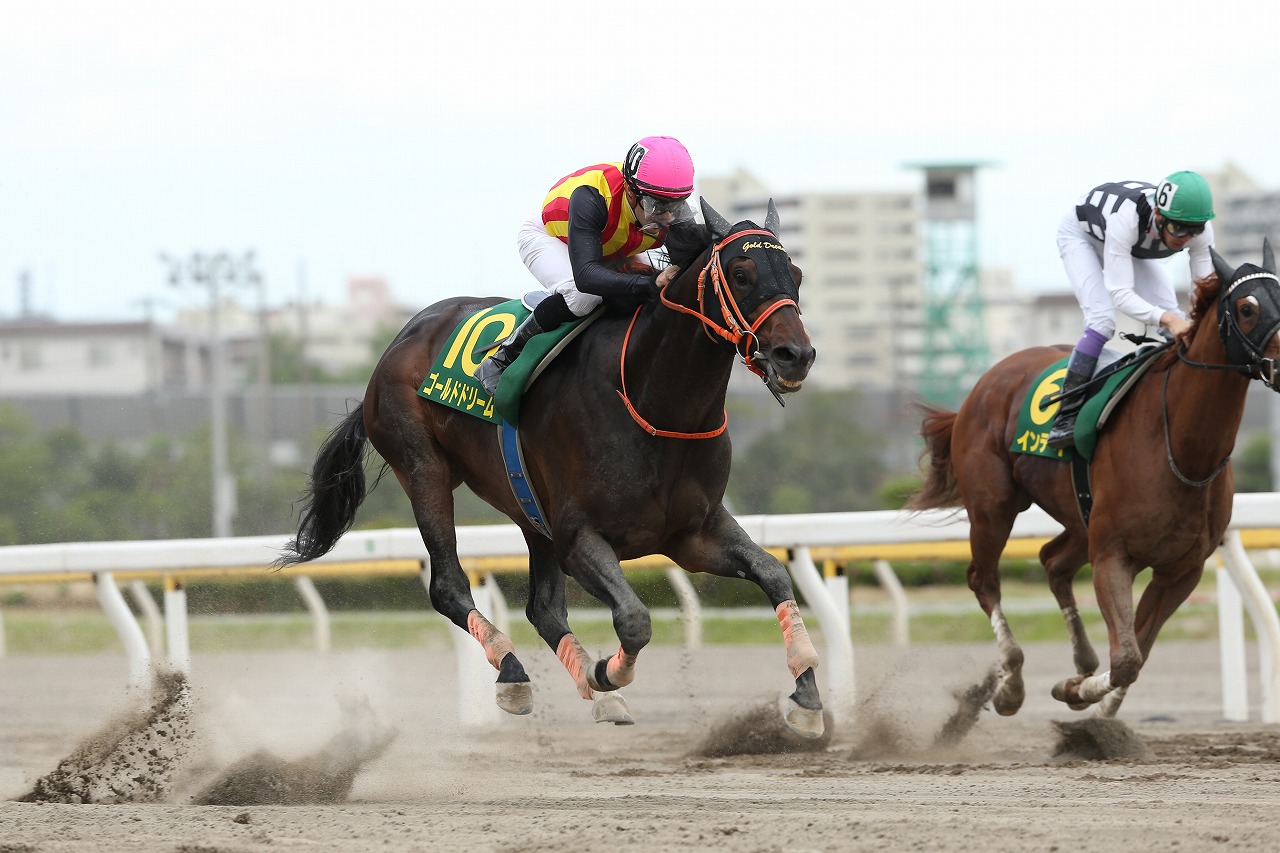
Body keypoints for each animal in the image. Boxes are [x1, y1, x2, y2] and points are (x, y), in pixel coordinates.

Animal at [276, 197, 824, 732]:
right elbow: (634, 619)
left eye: (796, 273)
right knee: (449, 586)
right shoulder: (579, 537)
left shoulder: (693, 533)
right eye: (741, 272)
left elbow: (773, 572)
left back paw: (588, 686)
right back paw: (516, 673)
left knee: (542, 608)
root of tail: (399, 340)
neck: (653, 400)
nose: (795, 355)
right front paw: (607, 672)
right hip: (424, 470)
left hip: (527, 506)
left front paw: (806, 691)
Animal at [906, 242, 1280, 712]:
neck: (1182, 449)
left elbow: (1139, 650)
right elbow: (1127, 659)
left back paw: (1081, 659)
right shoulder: (1112, 556)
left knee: (1052, 561)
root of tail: (983, 384)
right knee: (983, 579)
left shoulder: (1182, 570)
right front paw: (1075, 691)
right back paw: (1011, 683)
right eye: (1247, 308)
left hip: (1079, 517)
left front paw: (1092, 698)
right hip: (993, 508)